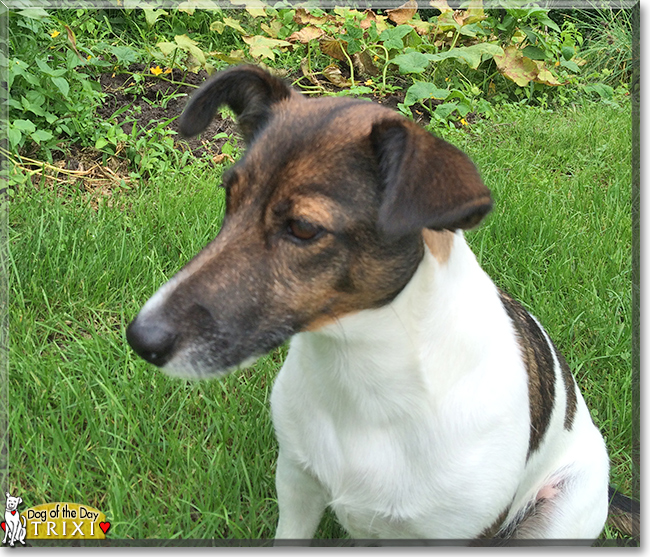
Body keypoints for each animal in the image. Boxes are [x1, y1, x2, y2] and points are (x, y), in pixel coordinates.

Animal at [124, 64, 636, 540]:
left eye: (304, 228)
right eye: (230, 198)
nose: (140, 338)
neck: (363, 378)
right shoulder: (297, 485)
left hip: (560, 513)